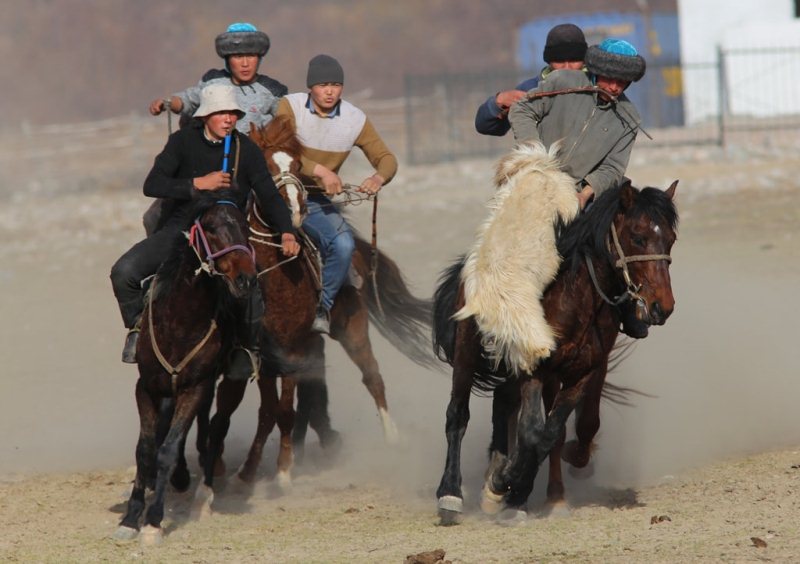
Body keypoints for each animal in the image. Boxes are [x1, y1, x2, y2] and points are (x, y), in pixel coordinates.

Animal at [112, 192, 255, 544]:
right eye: (212, 229)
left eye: (246, 227)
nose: (245, 279)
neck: (180, 321)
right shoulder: (147, 388)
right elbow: (146, 449)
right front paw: (130, 518)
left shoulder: (195, 386)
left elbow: (168, 448)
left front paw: (153, 522)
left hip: (227, 382)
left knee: (216, 425)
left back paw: (204, 489)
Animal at [195, 117, 438, 508]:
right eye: (264, 169)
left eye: (297, 166)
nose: (295, 209)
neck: (275, 277)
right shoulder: (263, 355)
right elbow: (269, 412)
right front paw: (248, 473)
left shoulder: (291, 350)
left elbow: (284, 410)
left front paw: (282, 473)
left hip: (352, 328)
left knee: (372, 377)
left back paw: (391, 438)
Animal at [434, 147, 680, 524]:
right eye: (637, 237)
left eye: (671, 239)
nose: (661, 307)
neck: (577, 294)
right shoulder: (536, 366)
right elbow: (534, 429)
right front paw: (508, 483)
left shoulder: (585, 370)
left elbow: (555, 430)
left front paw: (514, 485)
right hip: (467, 351)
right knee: (457, 415)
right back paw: (451, 494)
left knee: (504, 406)